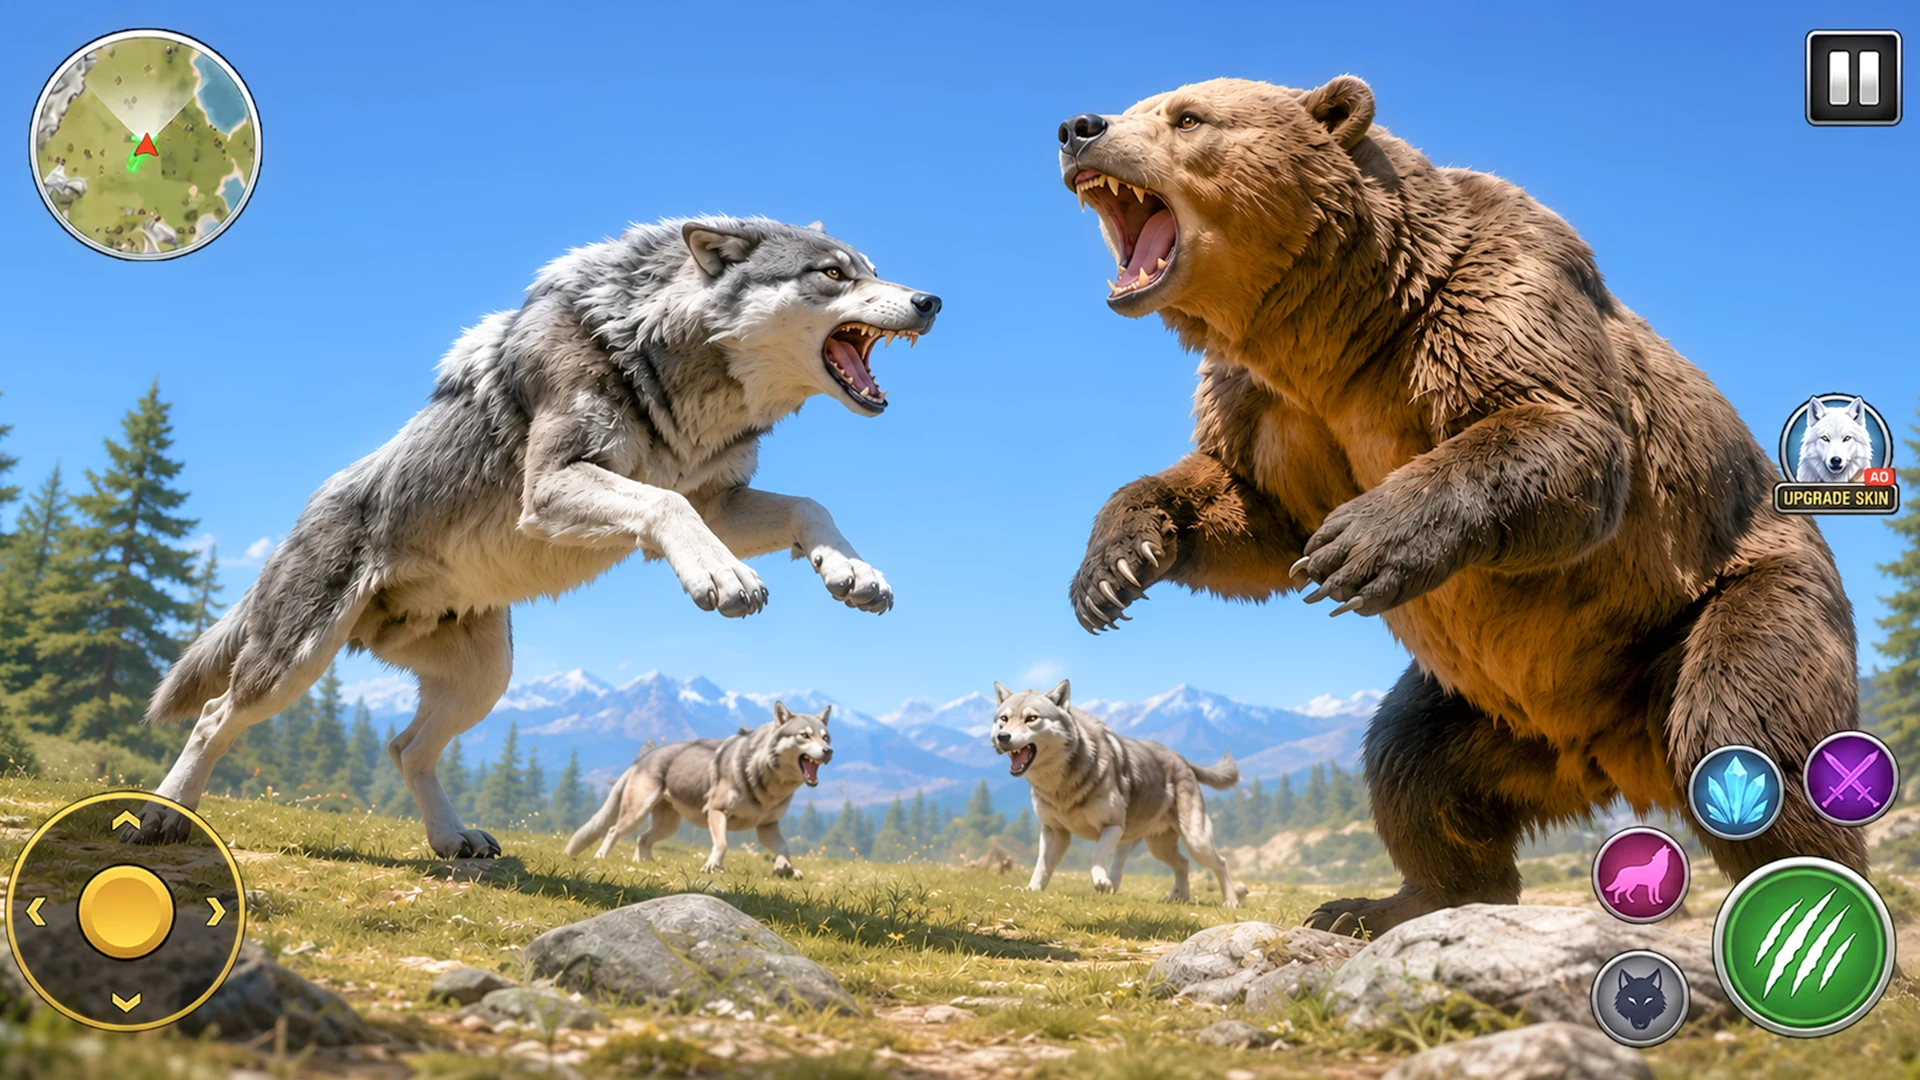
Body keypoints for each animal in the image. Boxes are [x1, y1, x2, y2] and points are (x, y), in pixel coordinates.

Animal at [141, 217, 938, 857]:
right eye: (832, 273)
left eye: (872, 266)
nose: (932, 301)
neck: (666, 365)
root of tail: (300, 518)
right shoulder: (559, 484)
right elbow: (664, 507)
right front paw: (726, 579)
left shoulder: (717, 501)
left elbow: (809, 506)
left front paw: (853, 574)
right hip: (296, 662)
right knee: (215, 716)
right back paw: (168, 816)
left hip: (486, 680)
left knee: (404, 748)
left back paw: (451, 839)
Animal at [565, 702, 831, 876]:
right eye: (805, 735)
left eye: (826, 737)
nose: (829, 751)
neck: (764, 777)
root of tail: (643, 757)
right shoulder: (717, 811)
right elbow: (722, 844)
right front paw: (712, 866)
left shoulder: (767, 826)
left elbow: (784, 848)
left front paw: (784, 867)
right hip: (636, 813)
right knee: (612, 831)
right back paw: (601, 857)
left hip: (669, 825)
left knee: (643, 838)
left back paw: (646, 864)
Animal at [990, 680, 1247, 906]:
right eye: (1004, 719)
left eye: (1031, 718)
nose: (1002, 737)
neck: (1060, 785)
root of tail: (1182, 759)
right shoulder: (1054, 830)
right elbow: (1042, 865)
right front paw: (1031, 891)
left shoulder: (1113, 826)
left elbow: (1095, 854)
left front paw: (1101, 882)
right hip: (1158, 846)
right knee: (1182, 863)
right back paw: (1178, 898)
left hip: (1196, 841)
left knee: (1220, 862)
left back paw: (1230, 901)